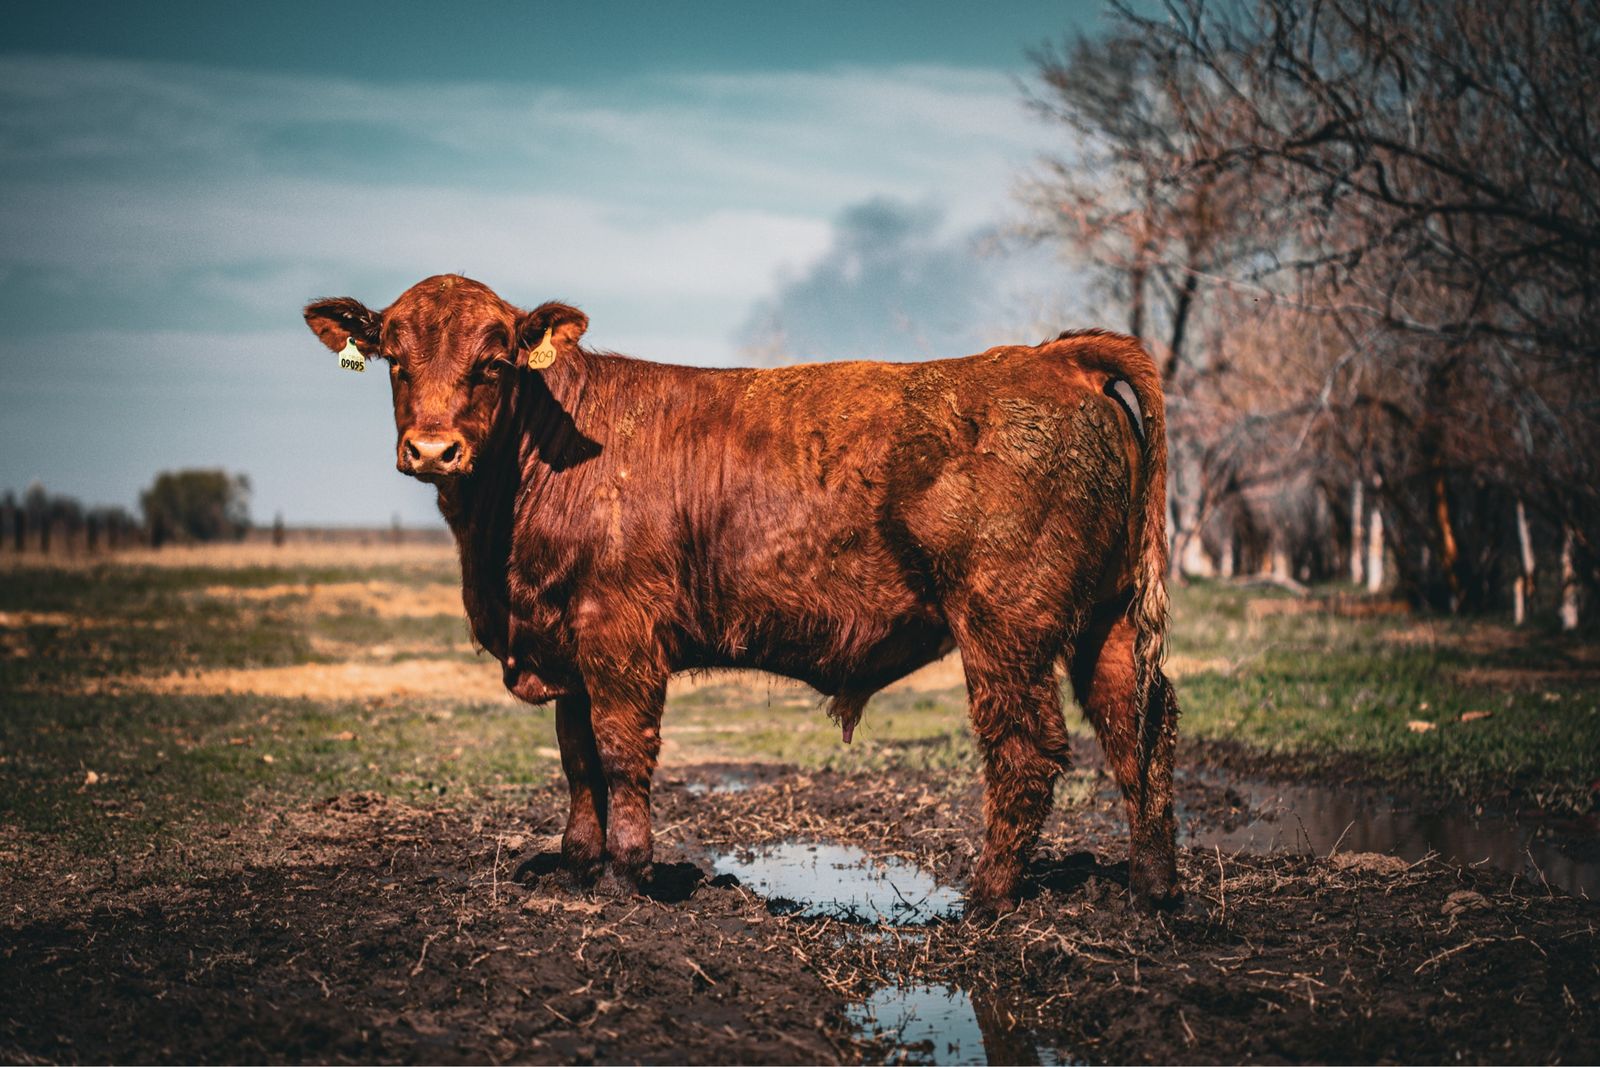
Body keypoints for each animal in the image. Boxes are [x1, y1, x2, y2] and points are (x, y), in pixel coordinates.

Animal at [304, 274, 1180, 915]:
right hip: (1106, 621)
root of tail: (1049, 357)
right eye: (395, 361)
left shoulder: (618, 634)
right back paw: (1152, 888)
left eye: (492, 363)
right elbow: (576, 755)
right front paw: (577, 862)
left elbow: (619, 751)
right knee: (1138, 727)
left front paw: (628, 873)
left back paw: (987, 899)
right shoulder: (566, 642)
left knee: (1027, 749)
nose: (432, 449)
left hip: (1004, 625)